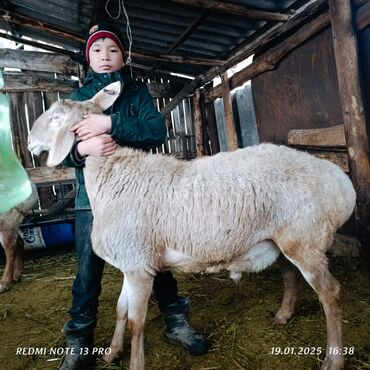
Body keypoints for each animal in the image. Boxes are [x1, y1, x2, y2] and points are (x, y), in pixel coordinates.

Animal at [26, 81, 356, 370]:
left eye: (55, 117)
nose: (29, 142)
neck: (113, 177)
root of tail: (342, 183)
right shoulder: (132, 261)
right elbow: (121, 310)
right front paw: (112, 353)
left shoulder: (139, 266)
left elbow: (136, 322)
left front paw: (134, 362)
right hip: (280, 240)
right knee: (291, 276)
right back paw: (284, 315)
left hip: (305, 239)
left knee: (331, 293)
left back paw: (334, 360)